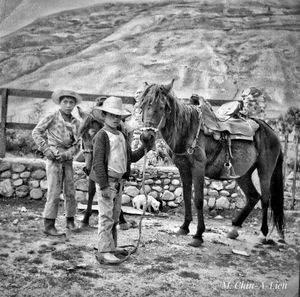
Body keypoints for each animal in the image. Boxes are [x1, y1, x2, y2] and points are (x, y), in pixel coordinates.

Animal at [139, 80, 284, 246]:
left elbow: (198, 200)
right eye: (142, 106)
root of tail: (270, 131)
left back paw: (263, 234)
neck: (187, 131)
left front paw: (198, 235)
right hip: (243, 173)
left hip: (265, 169)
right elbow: (187, 197)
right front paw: (184, 227)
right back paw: (234, 228)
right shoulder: (183, 168)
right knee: (253, 197)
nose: (146, 137)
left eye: (162, 107)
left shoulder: (198, 168)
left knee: (265, 199)